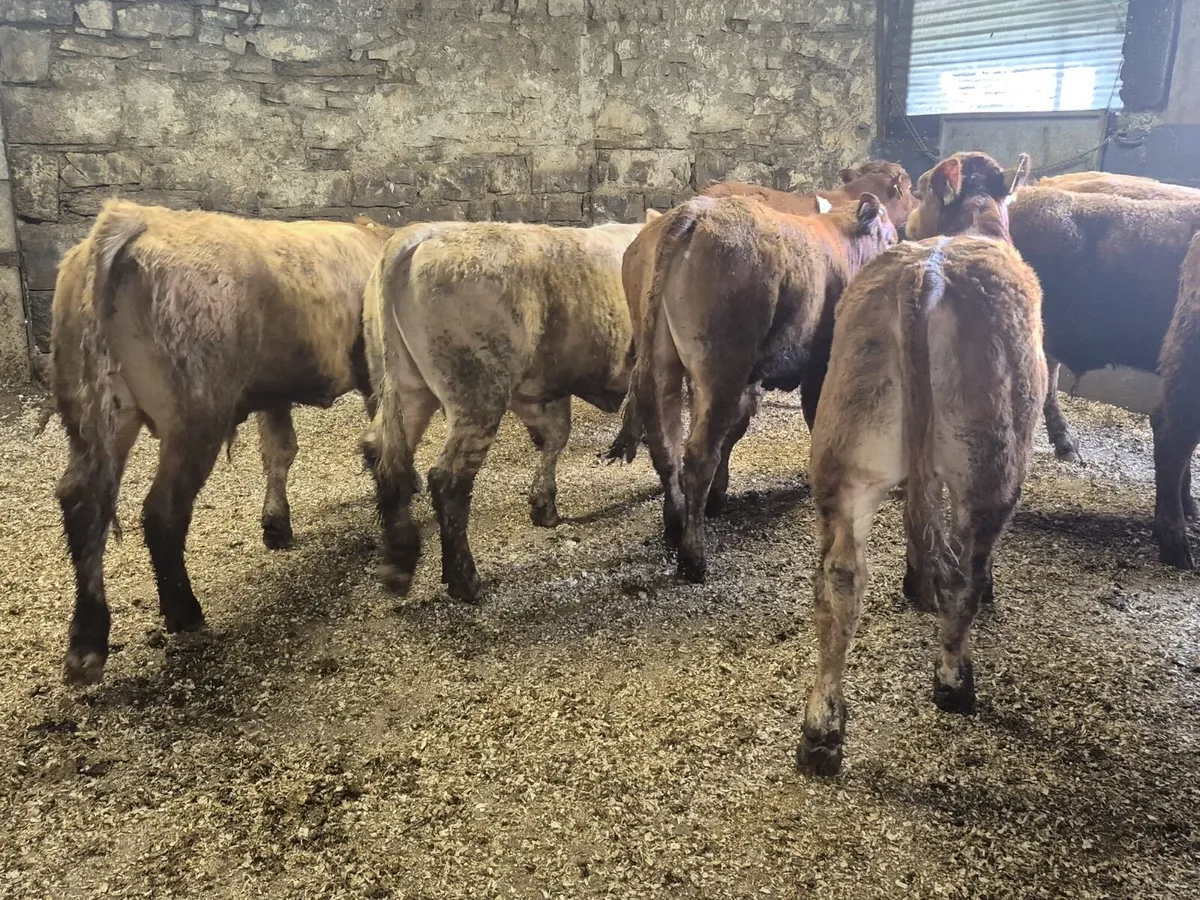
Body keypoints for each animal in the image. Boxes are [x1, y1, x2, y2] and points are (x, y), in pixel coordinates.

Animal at [51, 200, 390, 684]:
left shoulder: (273, 391)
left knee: (83, 504)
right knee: (163, 510)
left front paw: (276, 525)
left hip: (94, 415)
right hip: (195, 415)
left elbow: (279, 450)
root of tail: (130, 216)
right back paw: (184, 611)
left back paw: (87, 644)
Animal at [362, 215, 653, 603]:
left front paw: (544, 507)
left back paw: (399, 563)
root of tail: (420, 234)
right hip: (478, 396)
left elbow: (555, 438)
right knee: (447, 480)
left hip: (408, 392)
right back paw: (464, 580)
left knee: (381, 454)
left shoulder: (545, 394)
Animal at [629, 193, 898, 583]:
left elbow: (735, 431)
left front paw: (719, 496)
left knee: (667, 445)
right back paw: (694, 558)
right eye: (890, 240)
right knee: (698, 456)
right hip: (721, 366)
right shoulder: (817, 366)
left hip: (664, 363)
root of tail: (696, 210)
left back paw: (675, 523)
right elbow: (813, 417)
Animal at [798, 152, 1047, 777]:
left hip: (846, 456)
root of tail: (927, 274)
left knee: (837, 583)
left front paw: (915, 581)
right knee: (966, 571)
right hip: (990, 462)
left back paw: (821, 732)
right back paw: (954, 682)